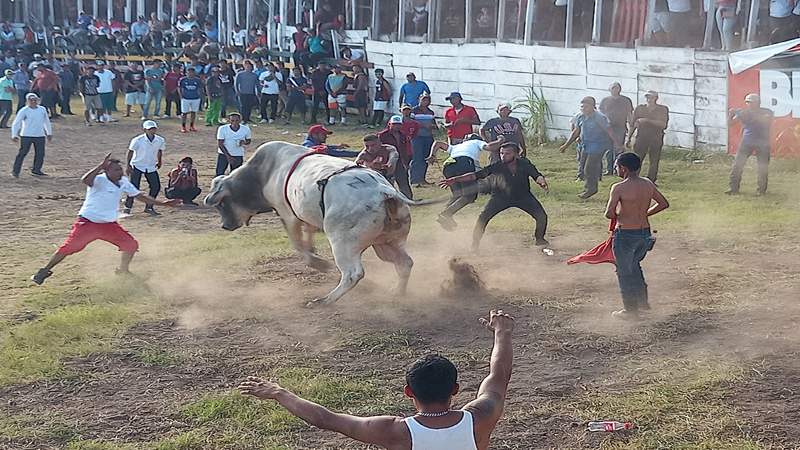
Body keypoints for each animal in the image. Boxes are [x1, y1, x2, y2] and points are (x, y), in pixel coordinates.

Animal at [203, 142, 416, 308]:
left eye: (221, 204)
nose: (225, 226)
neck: (264, 172)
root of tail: (385, 191)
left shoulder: (287, 215)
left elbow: (297, 243)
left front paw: (317, 262)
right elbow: (309, 233)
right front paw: (312, 249)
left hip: (343, 244)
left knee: (353, 274)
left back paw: (324, 300)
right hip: (389, 242)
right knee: (405, 263)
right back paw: (398, 291)